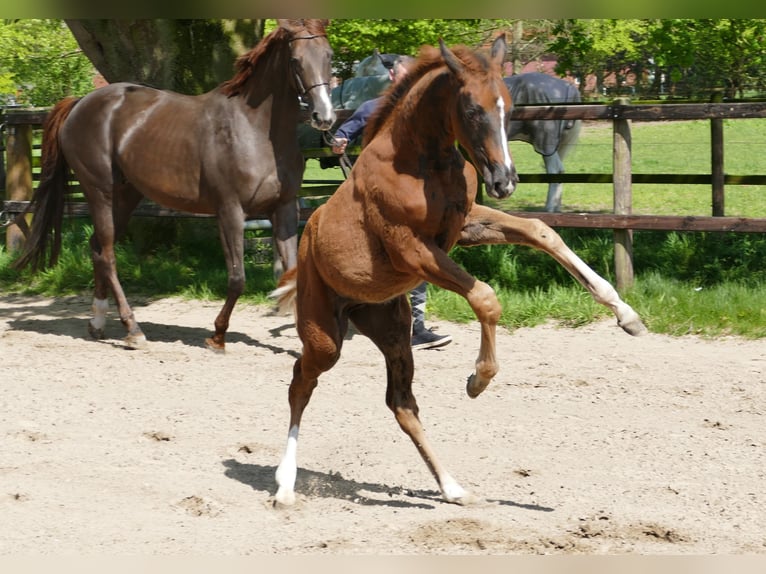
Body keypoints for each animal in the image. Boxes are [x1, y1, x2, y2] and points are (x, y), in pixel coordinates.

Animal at [14, 19, 336, 352]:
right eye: (295, 60)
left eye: (329, 55)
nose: (324, 116)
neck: (254, 129)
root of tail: (80, 103)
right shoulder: (230, 211)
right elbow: (237, 278)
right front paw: (217, 336)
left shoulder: (284, 210)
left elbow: (294, 277)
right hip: (99, 192)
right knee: (107, 255)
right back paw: (133, 331)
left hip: (126, 196)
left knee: (97, 249)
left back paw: (98, 323)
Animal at [270, 33, 648, 506]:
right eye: (471, 110)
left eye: (509, 105)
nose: (505, 180)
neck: (420, 162)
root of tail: (306, 247)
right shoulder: (410, 248)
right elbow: (485, 296)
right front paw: (478, 380)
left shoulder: (465, 225)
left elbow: (542, 232)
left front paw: (627, 315)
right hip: (325, 337)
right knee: (300, 384)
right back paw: (285, 484)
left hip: (391, 328)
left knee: (401, 404)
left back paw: (451, 487)